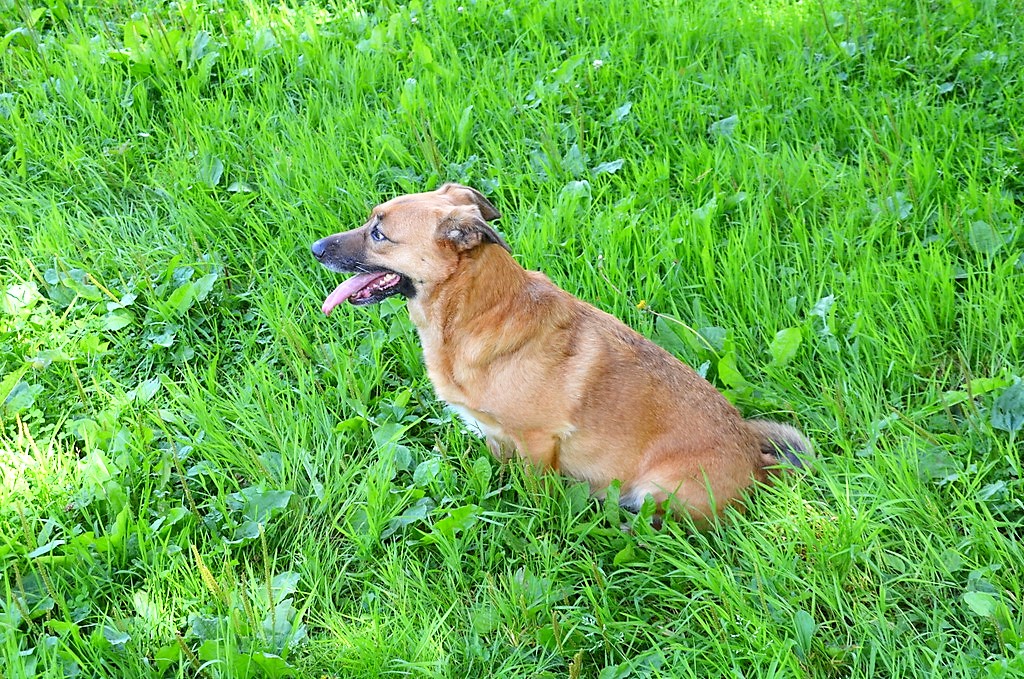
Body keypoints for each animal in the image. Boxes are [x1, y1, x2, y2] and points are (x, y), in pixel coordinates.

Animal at [312, 183, 810, 523]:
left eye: (379, 234)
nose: (315, 249)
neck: (479, 312)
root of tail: (759, 465)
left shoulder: (538, 443)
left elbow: (536, 496)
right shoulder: (496, 437)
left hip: (659, 488)